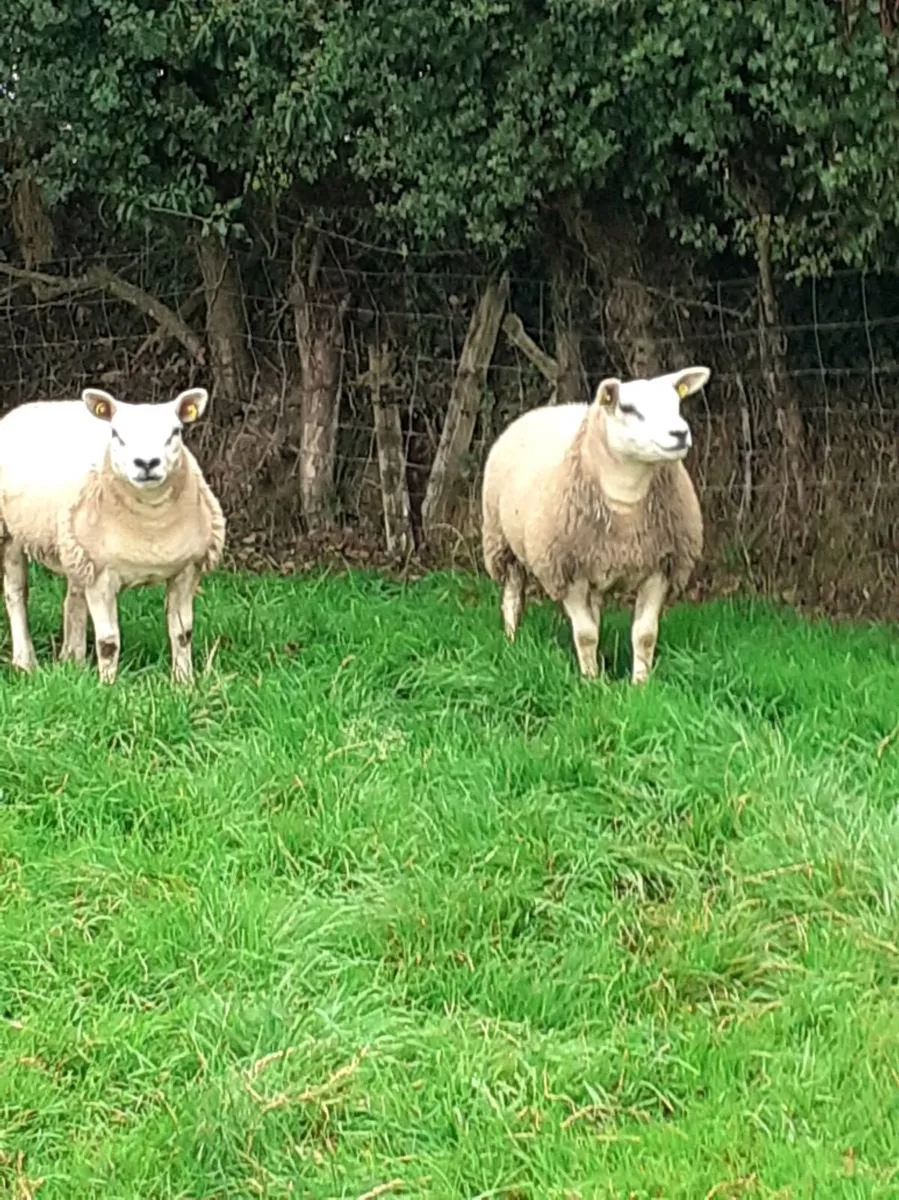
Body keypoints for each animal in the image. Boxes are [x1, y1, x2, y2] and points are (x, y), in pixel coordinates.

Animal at [0, 386, 225, 684]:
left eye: (175, 432)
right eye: (116, 434)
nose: (146, 463)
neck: (151, 527)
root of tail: (28, 408)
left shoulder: (187, 569)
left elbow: (182, 633)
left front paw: (184, 683)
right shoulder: (102, 575)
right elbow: (108, 642)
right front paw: (106, 686)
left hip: (76, 547)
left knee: (73, 599)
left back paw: (72, 660)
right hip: (10, 533)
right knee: (16, 594)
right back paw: (25, 662)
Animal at [481, 366, 710, 684]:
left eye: (676, 402)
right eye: (627, 408)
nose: (680, 433)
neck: (627, 497)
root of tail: (553, 408)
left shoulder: (661, 567)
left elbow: (645, 635)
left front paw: (640, 684)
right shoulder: (568, 569)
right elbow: (586, 633)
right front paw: (591, 681)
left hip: (599, 561)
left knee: (596, 608)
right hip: (502, 543)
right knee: (513, 597)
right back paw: (512, 641)